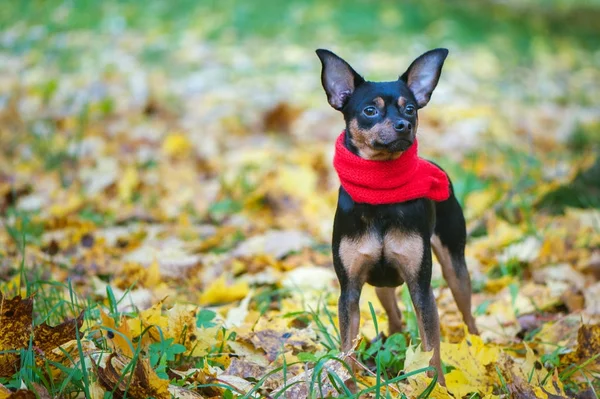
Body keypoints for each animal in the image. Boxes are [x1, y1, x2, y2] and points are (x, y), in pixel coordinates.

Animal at [314, 47, 478, 388]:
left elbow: (431, 348)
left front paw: (437, 388)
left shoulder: (421, 288)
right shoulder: (349, 291)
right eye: (369, 111)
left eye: (411, 109)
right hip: (381, 282)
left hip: (455, 266)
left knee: (467, 312)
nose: (404, 125)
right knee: (394, 316)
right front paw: (349, 385)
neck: (381, 193)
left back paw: (476, 346)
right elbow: (347, 347)